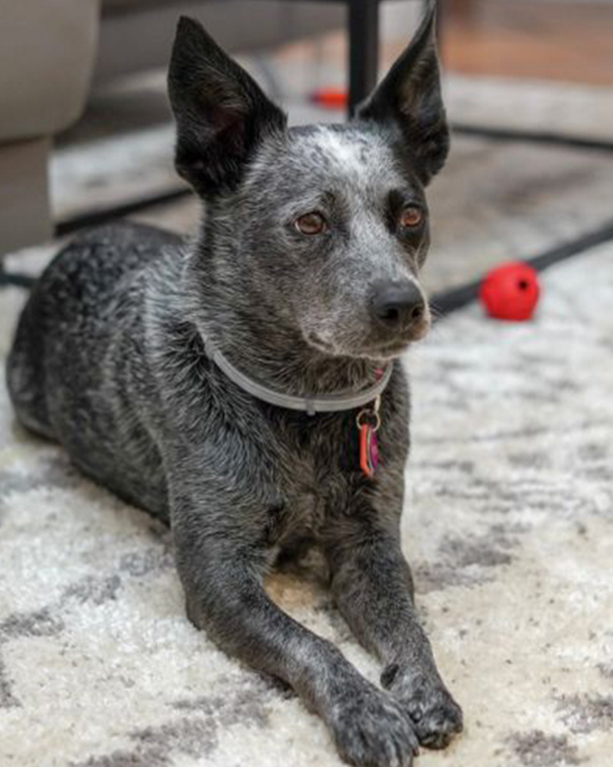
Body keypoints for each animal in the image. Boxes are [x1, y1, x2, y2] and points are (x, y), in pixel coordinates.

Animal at [8, 7, 460, 767]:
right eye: (310, 221)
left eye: (410, 215)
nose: (404, 303)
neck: (306, 405)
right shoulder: (218, 577)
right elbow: (312, 646)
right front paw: (368, 711)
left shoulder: (370, 545)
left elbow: (407, 623)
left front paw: (425, 689)